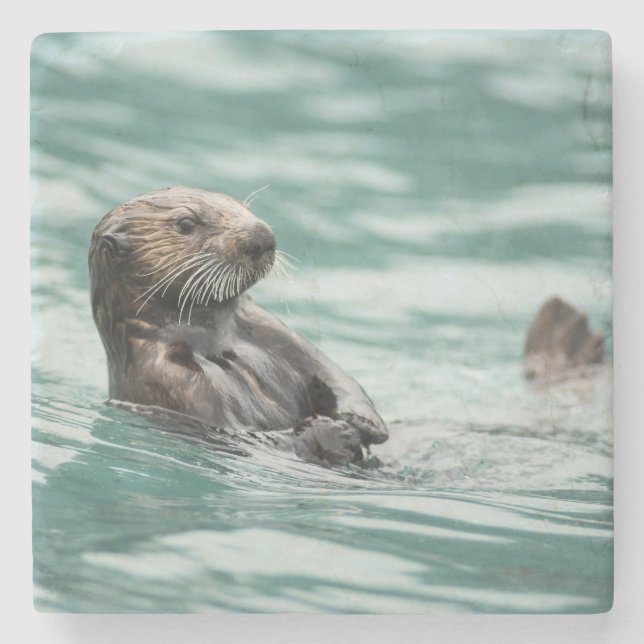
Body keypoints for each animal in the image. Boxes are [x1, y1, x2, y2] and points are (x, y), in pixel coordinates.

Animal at [89, 186, 388, 467]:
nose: (262, 235)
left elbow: (332, 373)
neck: (216, 340)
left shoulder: (271, 330)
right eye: (186, 223)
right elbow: (248, 437)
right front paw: (335, 433)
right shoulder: (170, 380)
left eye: (245, 208)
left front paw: (363, 421)